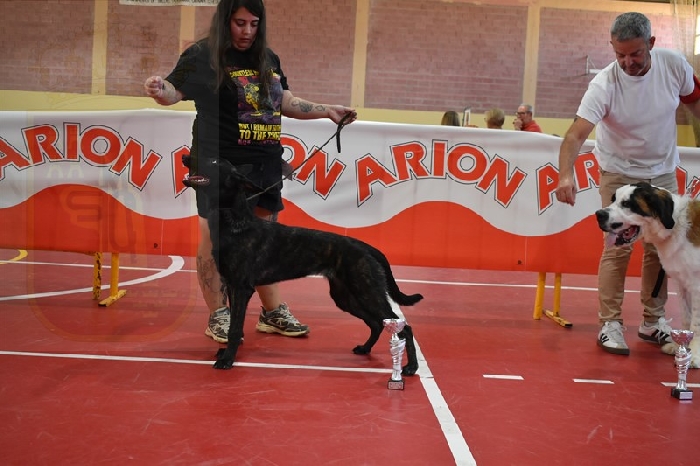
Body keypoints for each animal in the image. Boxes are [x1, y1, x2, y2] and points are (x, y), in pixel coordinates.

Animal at [182, 157, 423, 374]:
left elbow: (235, 329)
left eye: (214, 162)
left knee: (404, 327)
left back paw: (411, 367)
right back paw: (365, 348)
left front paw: (227, 360)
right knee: (376, 323)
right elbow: (235, 325)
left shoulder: (241, 289)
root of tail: (366, 247)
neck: (235, 222)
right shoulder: (232, 287)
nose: (186, 156)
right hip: (346, 296)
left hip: (367, 292)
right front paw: (225, 353)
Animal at [595, 181, 700, 366]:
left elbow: (696, 324)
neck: (675, 226)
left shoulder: (696, 286)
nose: (599, 214)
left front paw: (693, 354)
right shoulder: (682, 283)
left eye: (627, 204)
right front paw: (680, 347)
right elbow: (687, 317)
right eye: (613, 199)